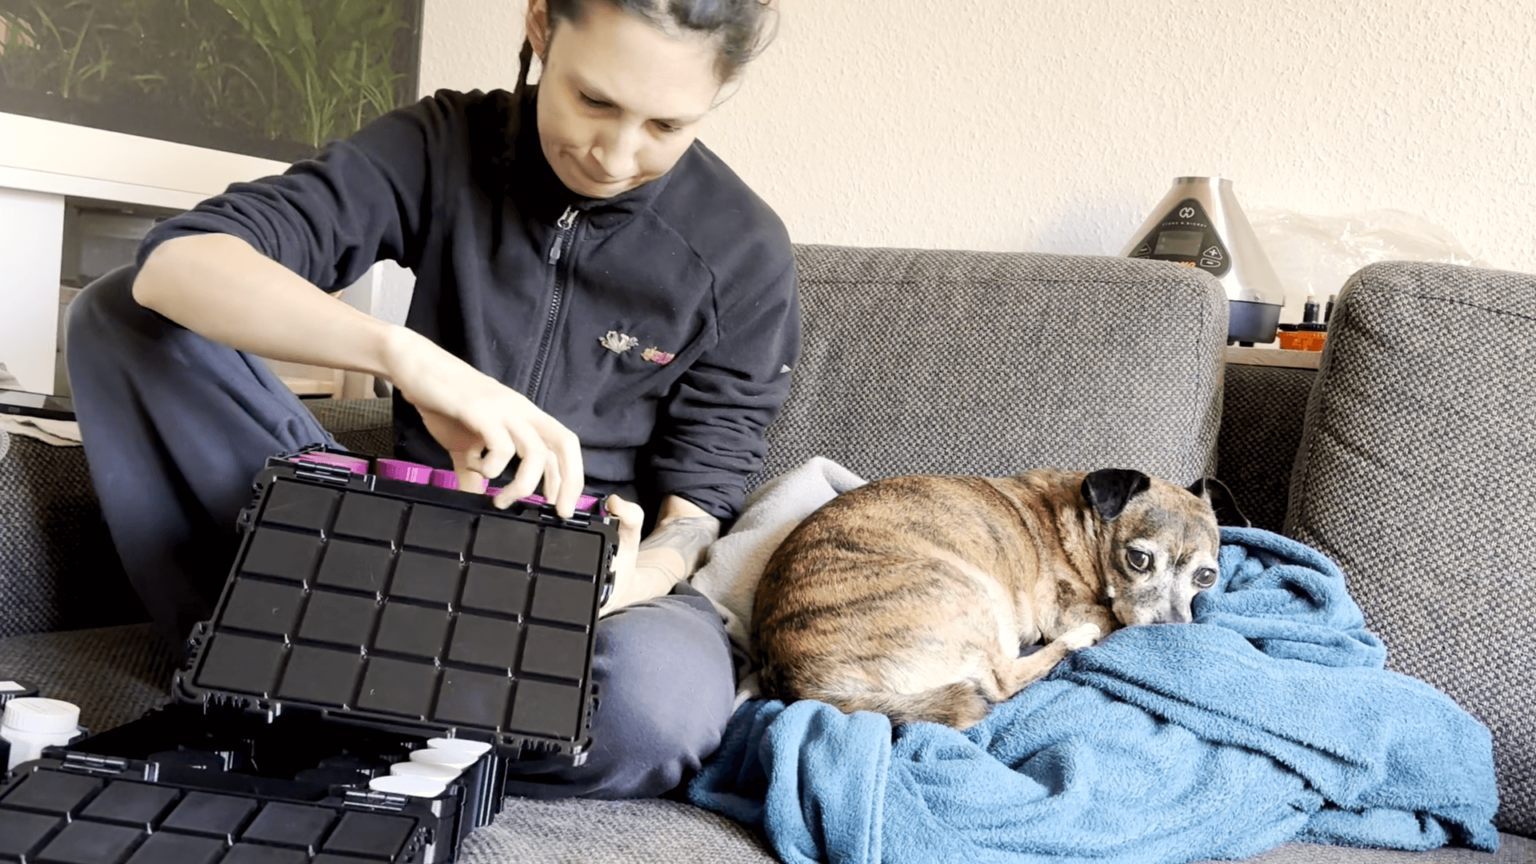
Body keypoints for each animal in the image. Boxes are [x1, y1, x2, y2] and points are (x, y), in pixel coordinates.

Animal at [755, 467, 1247, 722]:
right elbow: (1104, 617)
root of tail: (801, 684)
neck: (1083, 521)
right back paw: (1077, 642)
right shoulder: (1066, 610)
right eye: (1139, 560)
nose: (1173, 631)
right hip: (971, 591)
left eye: (1206, 577)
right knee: (1002, 680)